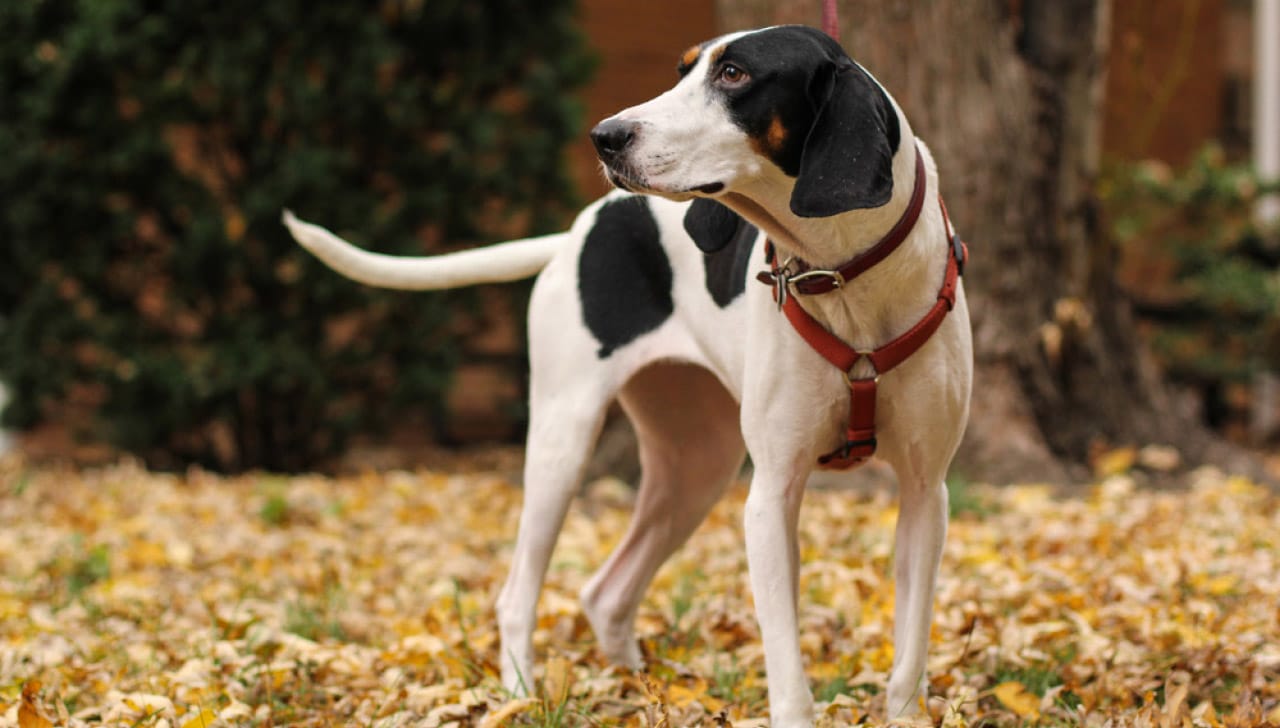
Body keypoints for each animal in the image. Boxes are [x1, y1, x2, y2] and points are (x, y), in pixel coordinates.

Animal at [288, 25, 967, 721]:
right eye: (682, 70)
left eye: (734, 74)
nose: (605, 136)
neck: (842, 275)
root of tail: (578, 231)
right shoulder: (772, 496)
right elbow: (787, 673)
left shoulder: (925, 495)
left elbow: (909, 655)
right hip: (563, 445)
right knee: (518, 594)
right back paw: (520, 693)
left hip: (697, 466)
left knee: (606, 592)